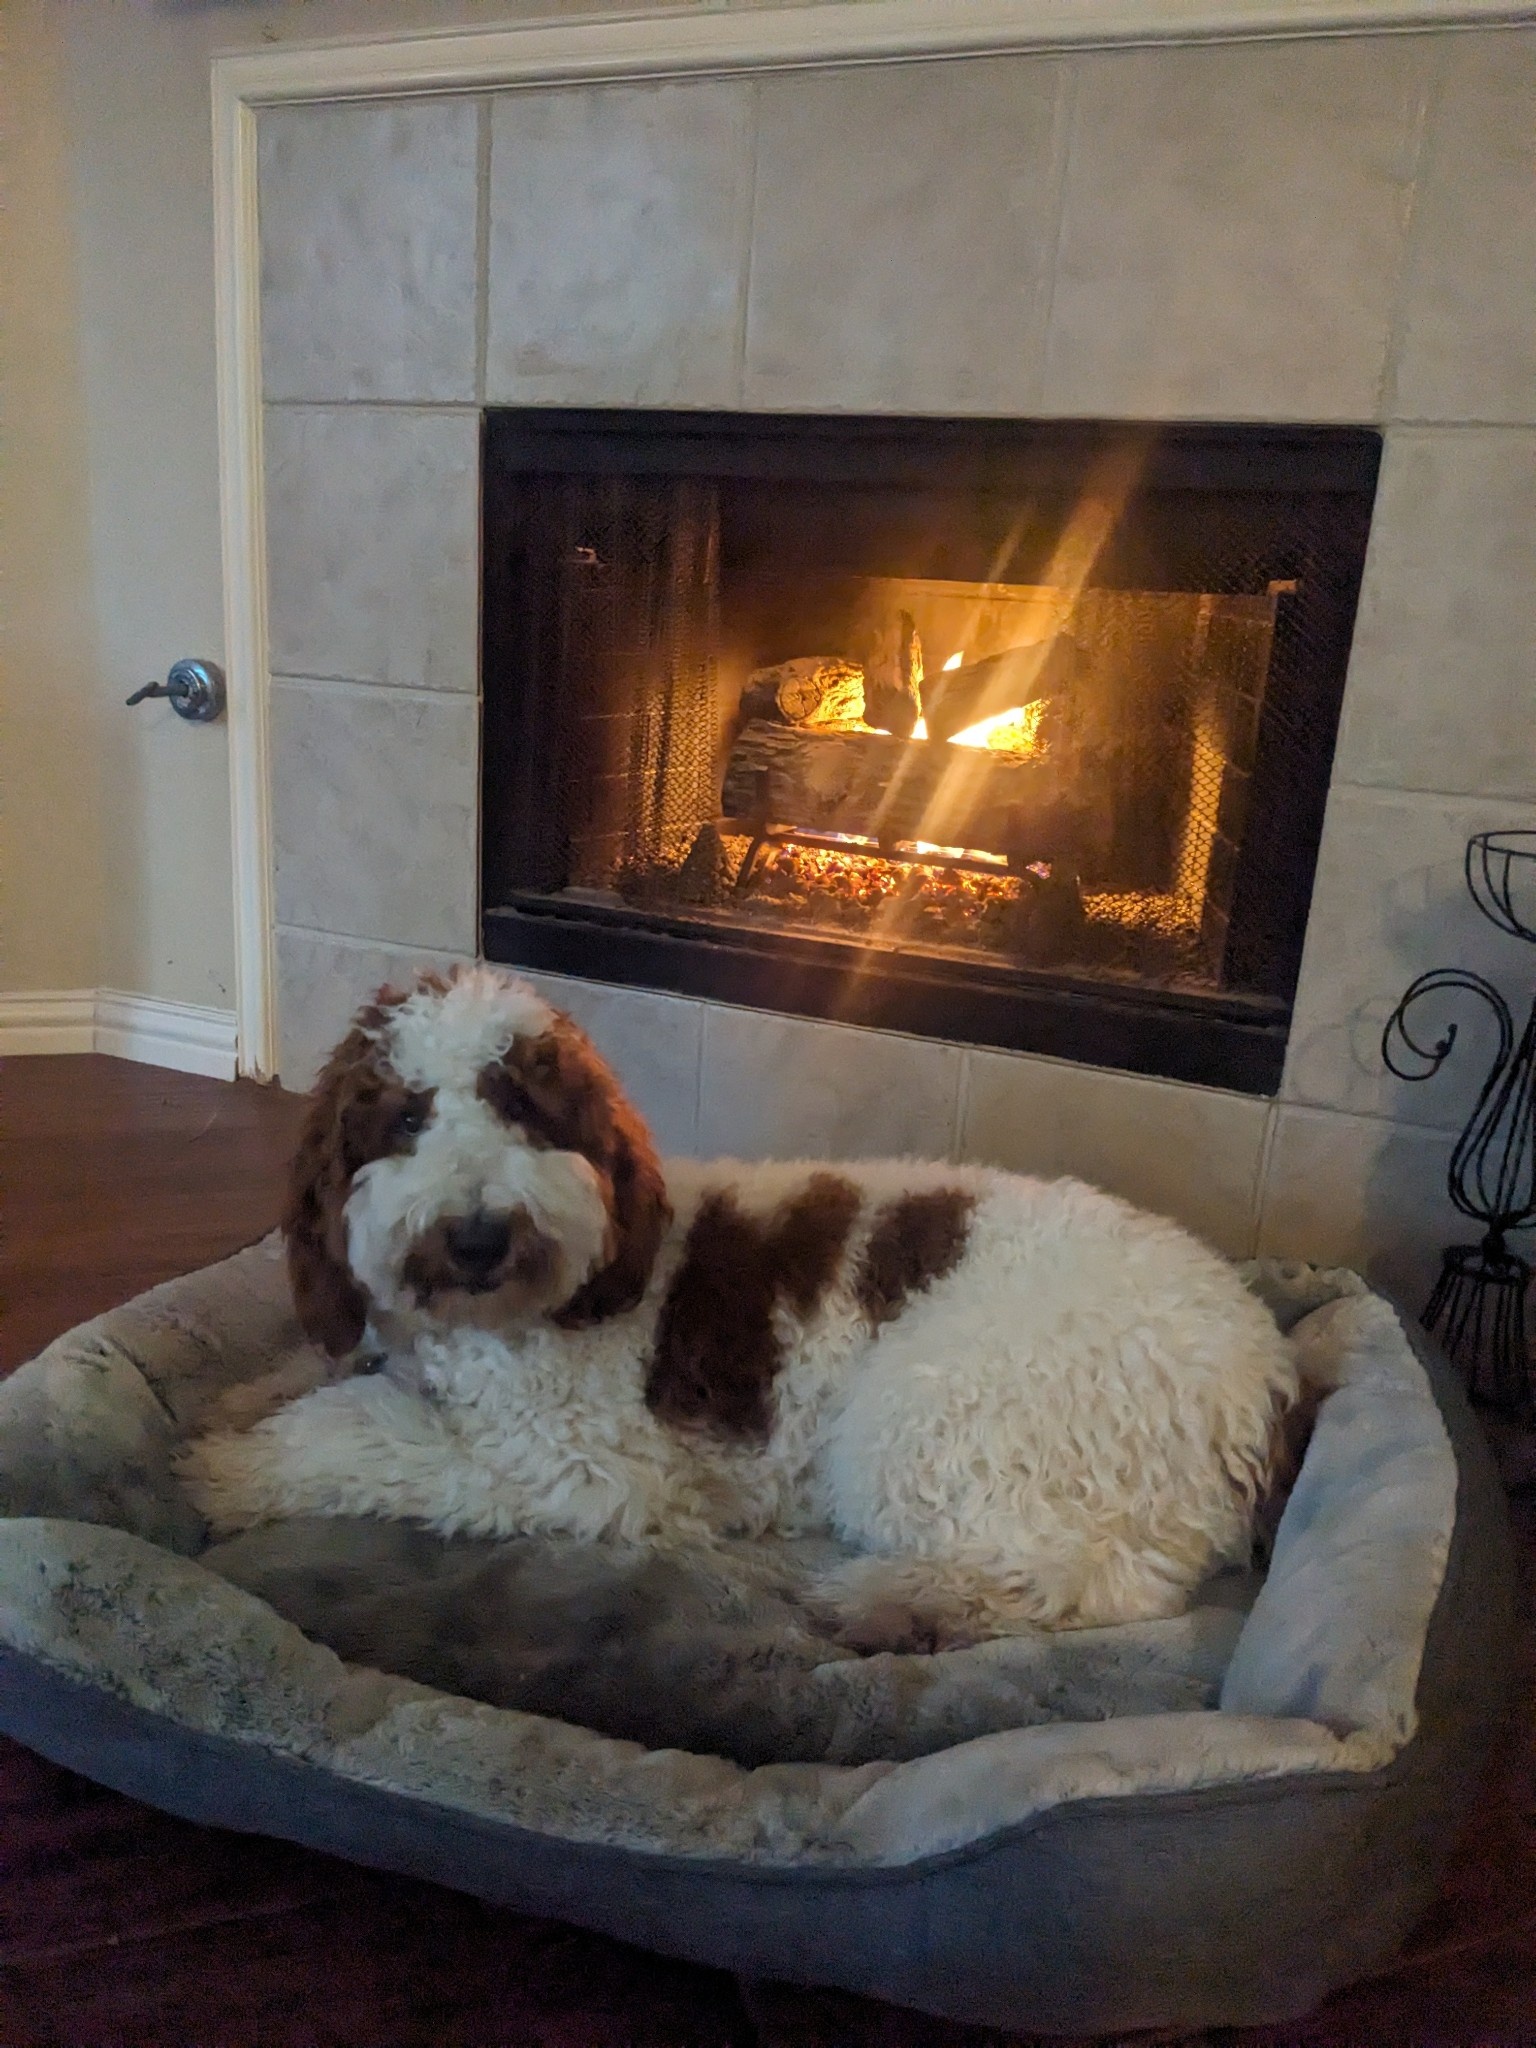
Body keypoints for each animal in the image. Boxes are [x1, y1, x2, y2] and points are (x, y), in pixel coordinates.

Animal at [186, 958, 1302, 1646]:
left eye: (525, 1109)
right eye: (407, 1116)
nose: (478, 1234)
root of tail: (1264, 1375)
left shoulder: (579, 1465)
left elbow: (362, 1428)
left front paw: (233, 1469)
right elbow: (334, 1372)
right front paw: (240, 1401)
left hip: (929, 1414)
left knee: (1097, 1578)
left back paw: (897, 1600)